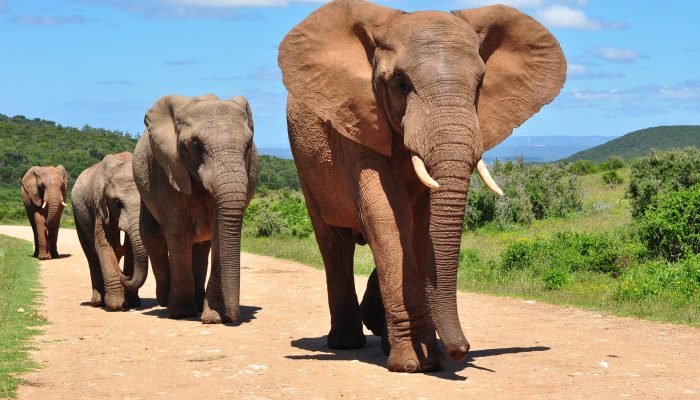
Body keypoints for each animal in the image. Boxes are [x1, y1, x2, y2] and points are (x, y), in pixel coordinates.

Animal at [72, 152, 147, 310]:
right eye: (117, 202)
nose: (125, 276)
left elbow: (130, 248)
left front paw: (133, 303)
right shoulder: (99, 205)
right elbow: (104, 244)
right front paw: (116, 305)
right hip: (78, 216)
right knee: (91, 255)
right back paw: (97, 302)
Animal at [132, 94, 258, 323]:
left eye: (248, 146)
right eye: (196, 146)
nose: (232, 318)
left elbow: (218, 231)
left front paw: (213, 317)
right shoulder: (167, 169)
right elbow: (178, 233)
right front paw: (182, 313)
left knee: (201, 246)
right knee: (152, 238)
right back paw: (166, 302)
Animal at [278, 0, 566, 372]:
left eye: (480, 85)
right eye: (400, 83)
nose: (461, 350)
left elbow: (418, 226)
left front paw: (428, 357)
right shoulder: (358, 119)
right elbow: (387, 216)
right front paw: (416, 363)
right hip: (305, 161)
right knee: (334, 244)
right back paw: (345, 342)